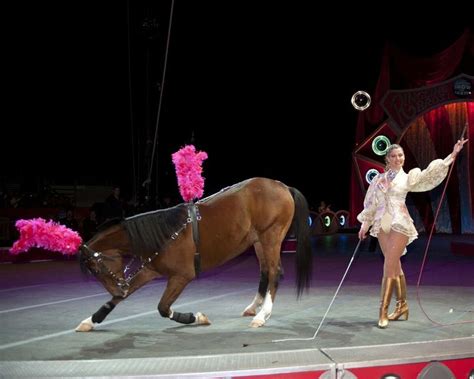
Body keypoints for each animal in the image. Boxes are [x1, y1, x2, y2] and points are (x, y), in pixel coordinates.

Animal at [75, 178, 312, 332]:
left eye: (94, 267)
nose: (119, 288)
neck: (165, 234)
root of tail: (283, 186)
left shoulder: (181, 276)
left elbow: (163, 308)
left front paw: (194, 317)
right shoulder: (150, 270)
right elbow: (116, 300)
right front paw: (91, 320)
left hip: (271, 237)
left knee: (274, 273)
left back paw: (263, 315)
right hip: (259, 242)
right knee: (264, 273)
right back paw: (255, 308)